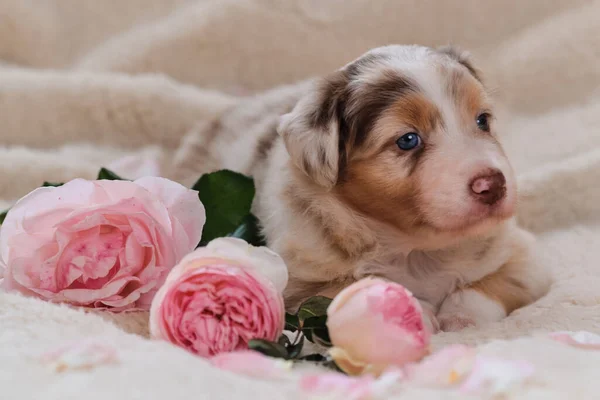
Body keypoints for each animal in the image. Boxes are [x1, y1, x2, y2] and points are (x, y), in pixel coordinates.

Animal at [171, 44, 552, 332]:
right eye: (408, 140)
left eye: (482, 120)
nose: (494, 185)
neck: (415, 250)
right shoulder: (297, 283)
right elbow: (354, 286)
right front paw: (412, 310)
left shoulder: (523, 256)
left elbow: (490, 285)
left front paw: (461, 317)